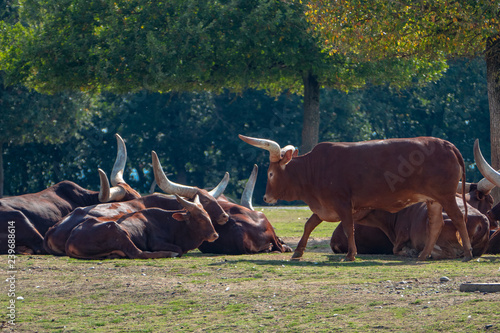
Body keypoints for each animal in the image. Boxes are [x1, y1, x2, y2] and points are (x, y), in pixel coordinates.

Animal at [63, 195, 218, 260]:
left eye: (208, 216)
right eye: (200, 218)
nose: (215, 235)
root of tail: (71, 237)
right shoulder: (156, 243)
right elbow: (178, 250)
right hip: (116, 230)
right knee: (138, 253)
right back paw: (168, 254)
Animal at [240, 134, 474, 260]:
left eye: (271, 173)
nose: (266, 197)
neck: (314, 169)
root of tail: (446, 144)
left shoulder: (343, 204)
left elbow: (347, 227)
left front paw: (351, 254)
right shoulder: (327, 207)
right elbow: (309, 224)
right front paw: (298, 251)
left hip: (446, 196)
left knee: (457, 218)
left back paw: (468, 253)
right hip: (433, 200)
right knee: (435, 225)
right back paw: (423, 254)